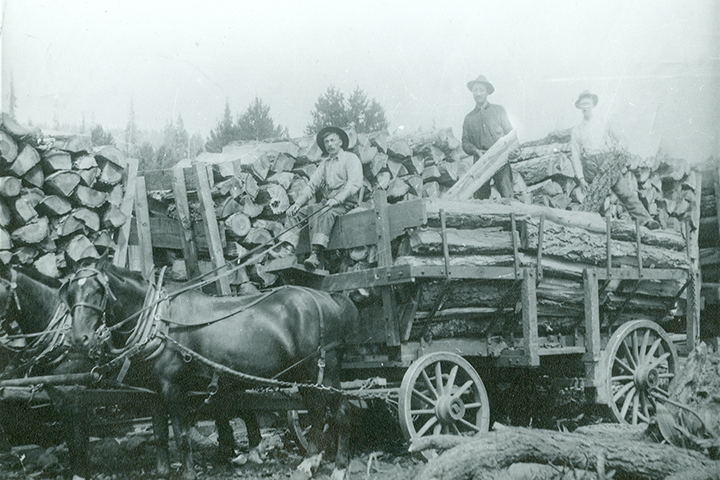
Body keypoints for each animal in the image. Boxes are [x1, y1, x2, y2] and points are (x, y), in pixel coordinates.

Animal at [60, 255, 358, 480]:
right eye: (71, 293)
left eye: (98, 290)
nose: (79, 339)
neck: (159, 321)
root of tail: (328, 298)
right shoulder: (153, 392)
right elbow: (159, 435)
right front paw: (162, 472)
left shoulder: (173, 388)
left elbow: (181, 436)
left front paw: (189, 473)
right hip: (306, 376)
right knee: (318, 412)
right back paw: (309, 463)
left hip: (323, 372)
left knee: (341, 413)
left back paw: (339, 468)